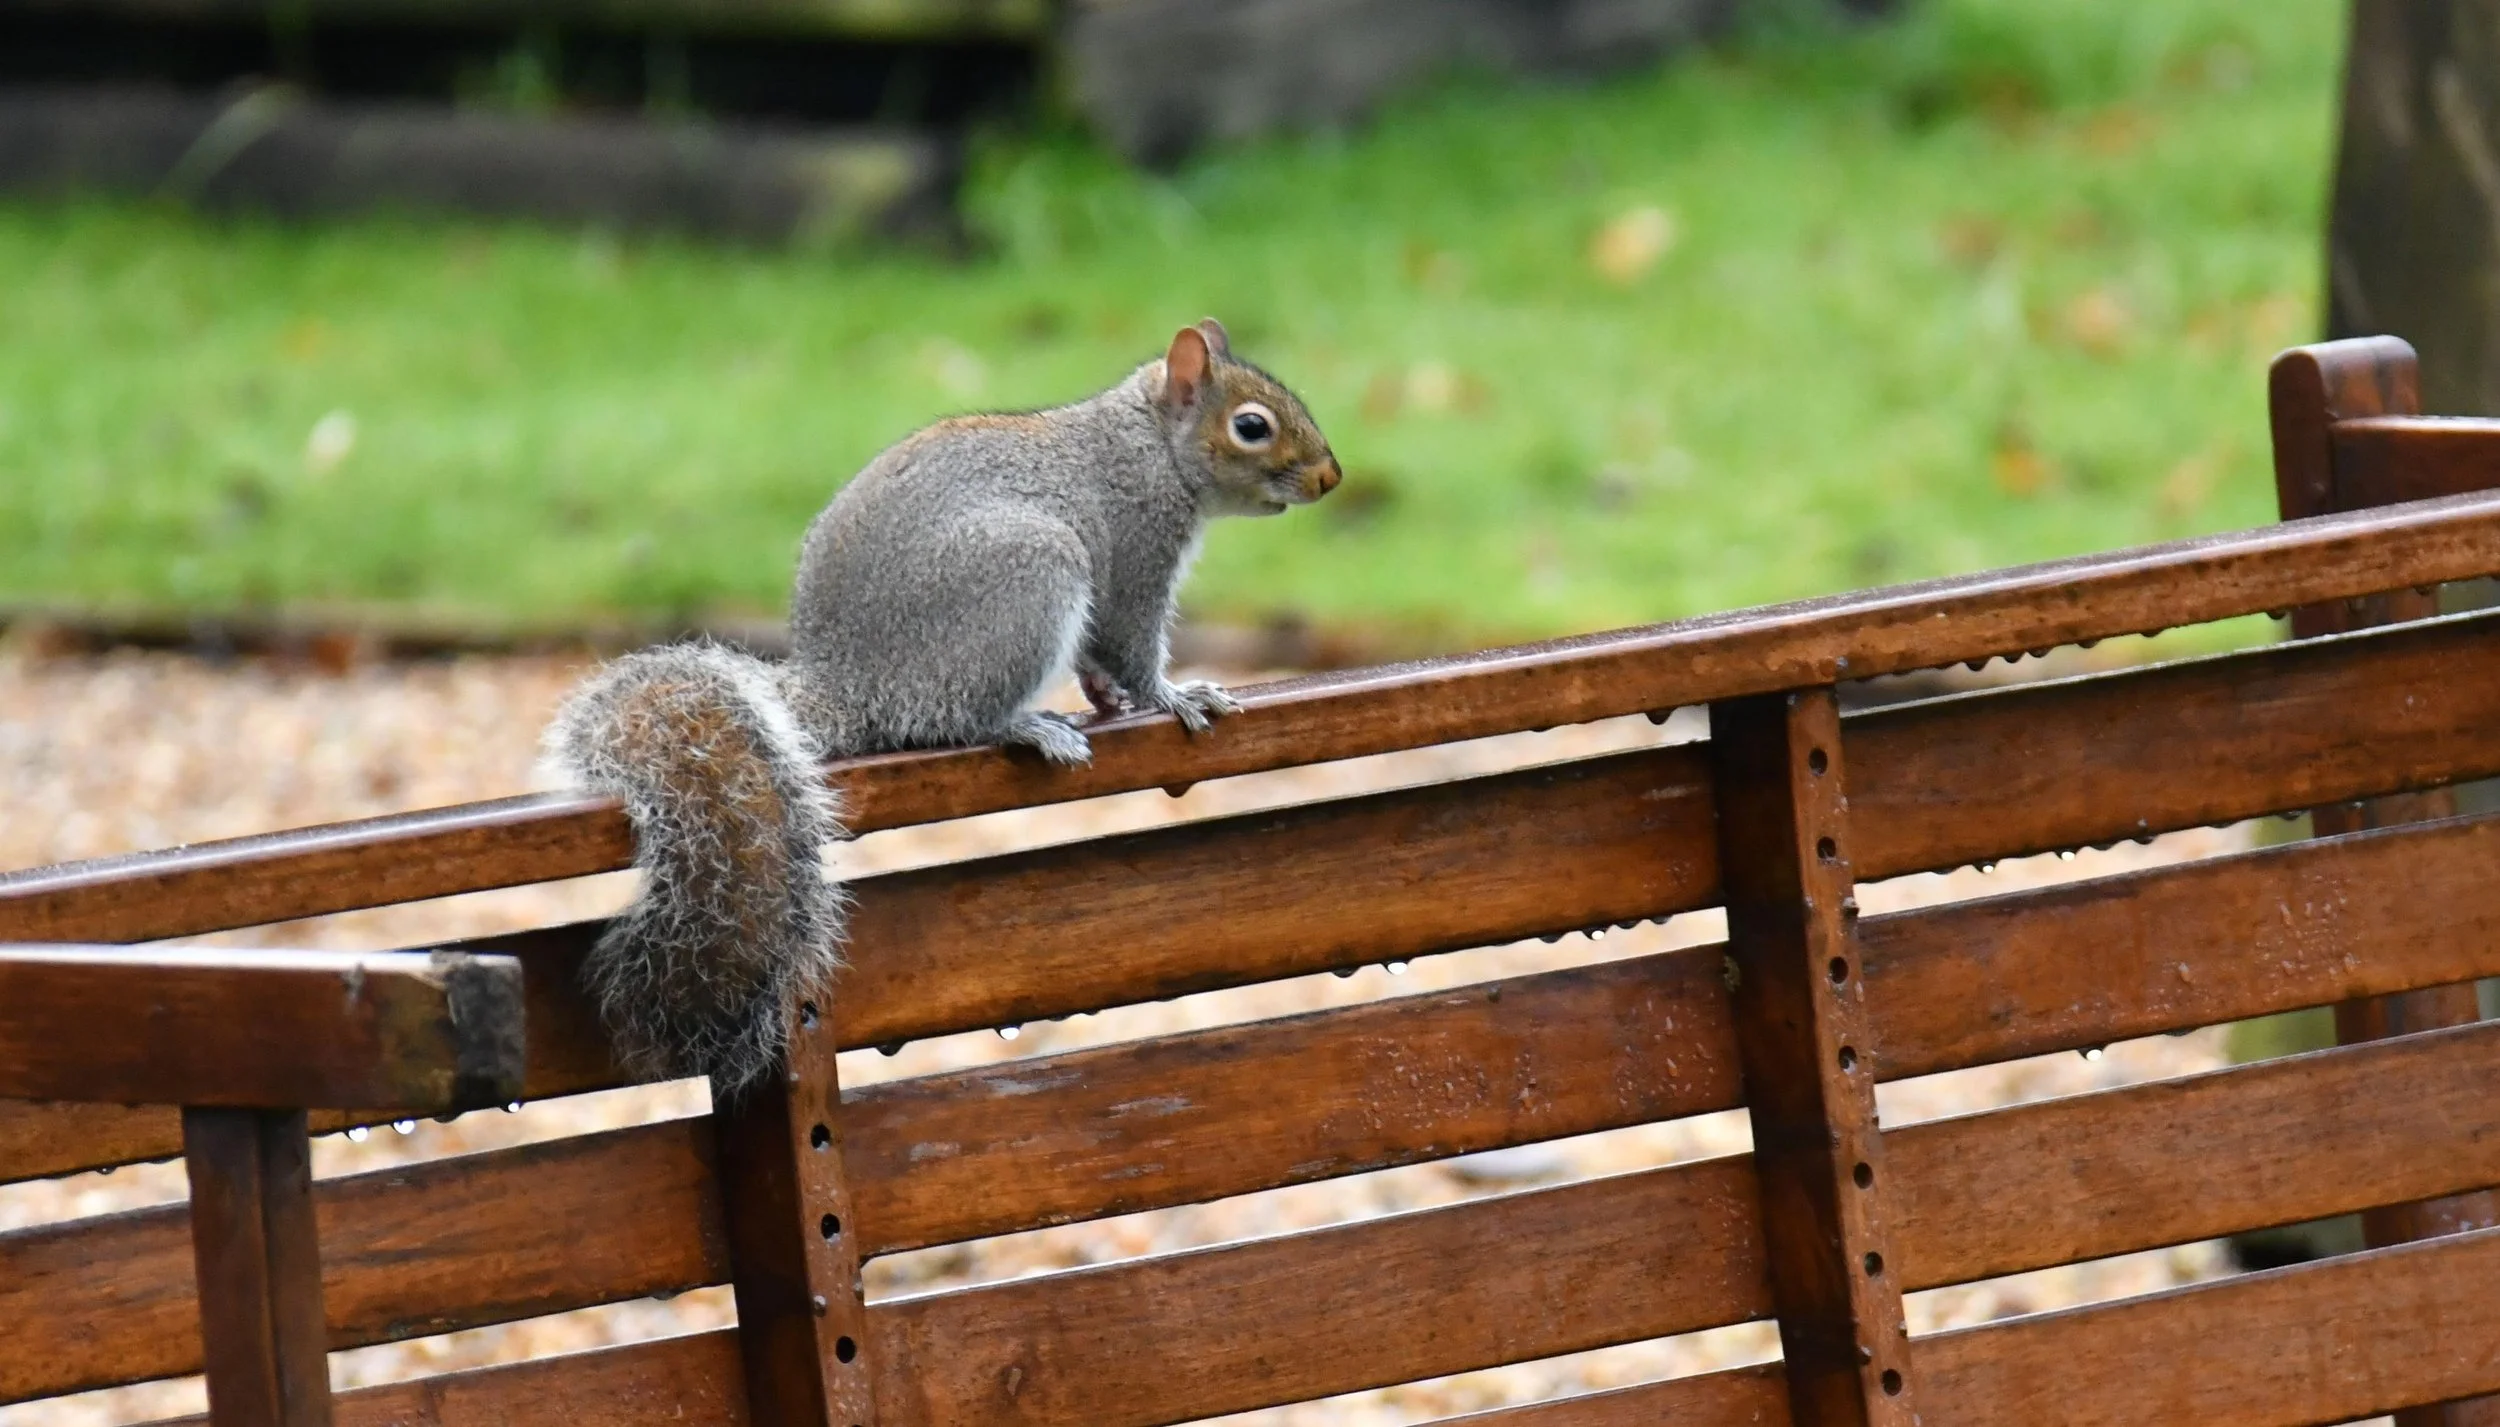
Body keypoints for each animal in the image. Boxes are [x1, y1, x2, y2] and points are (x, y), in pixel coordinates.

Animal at [544, 319, 1342, 1094]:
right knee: (953, 717)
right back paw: (1030, 726)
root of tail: (848, 683)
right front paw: (1175, 696)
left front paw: (1110, 696)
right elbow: (1129, 638)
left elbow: (1097, 657)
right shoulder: (1136, 543)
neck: (1149, 442)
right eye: (1252, 426)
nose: (1331, 477)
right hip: (1031, 575)